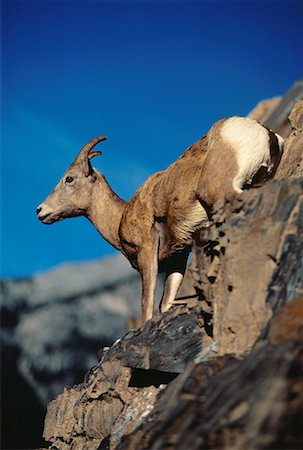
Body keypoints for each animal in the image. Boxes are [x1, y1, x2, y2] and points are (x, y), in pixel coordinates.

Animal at [37, 117, 284, 324]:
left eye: (69, 179)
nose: (40, 211)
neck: (122, 216)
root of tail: (263, 132)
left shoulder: (148, 253)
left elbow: (147, 303)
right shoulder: (178, 257)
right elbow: (166, 302)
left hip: (221, 191)